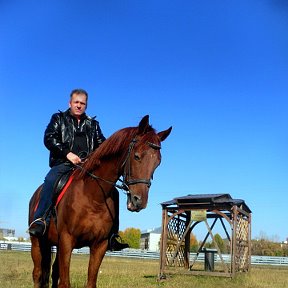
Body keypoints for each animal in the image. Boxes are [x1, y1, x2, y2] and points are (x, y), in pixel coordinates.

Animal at [27, 115, 171, 288]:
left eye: (158, 162)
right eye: (137, 156)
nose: (139, 201)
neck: (92, 197)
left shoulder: (100, 245)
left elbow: (90, 282)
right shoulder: (67, 241)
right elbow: (65, 283)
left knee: (53, 273)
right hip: (37, 242)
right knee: (37, 274)